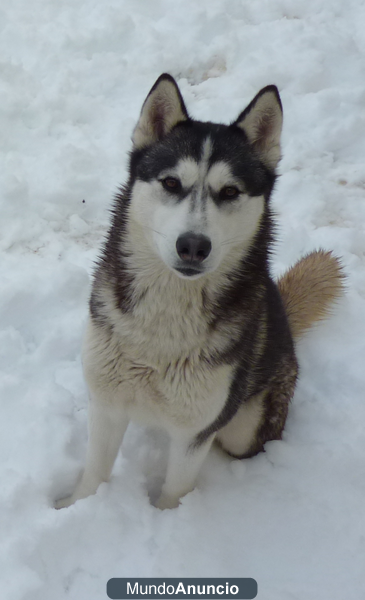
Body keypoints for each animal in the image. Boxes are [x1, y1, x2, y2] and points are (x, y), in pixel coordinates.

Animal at [55, 72, 342, 508]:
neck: (165, 319)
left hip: (246, 425)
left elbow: (175, 492)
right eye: (171, 183)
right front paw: (76, 507)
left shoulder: (195, 432)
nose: (193, 245)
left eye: (230, 192)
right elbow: (94, 474)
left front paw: (169, 517)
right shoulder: (106, 404)